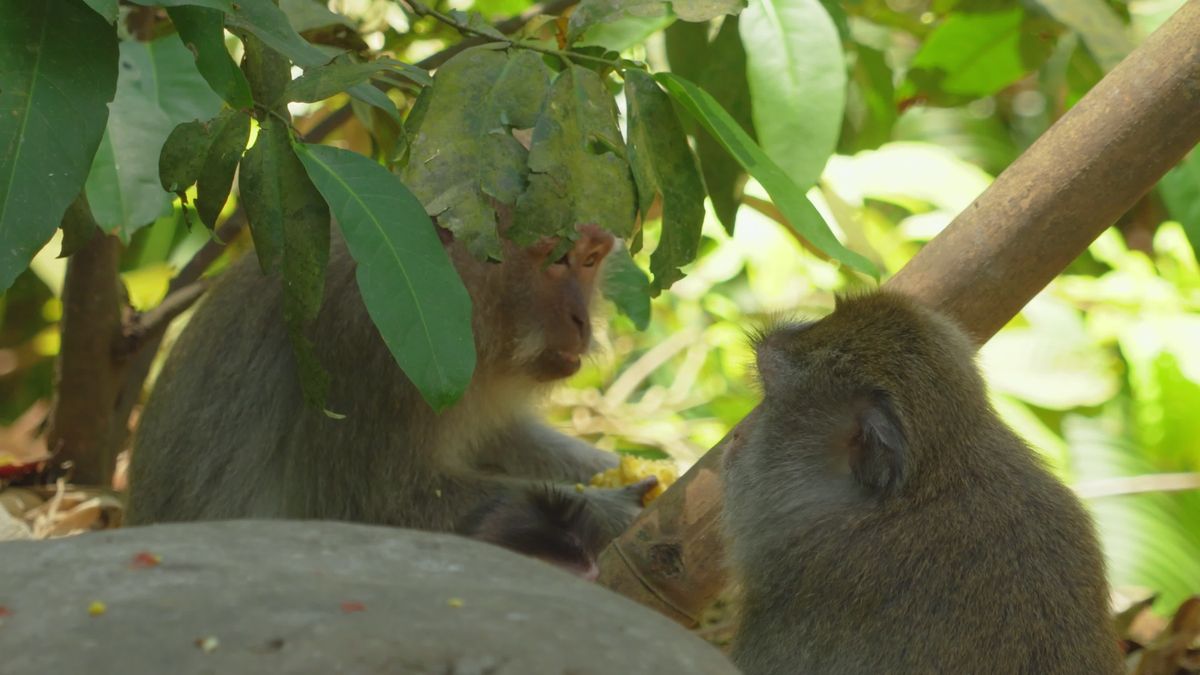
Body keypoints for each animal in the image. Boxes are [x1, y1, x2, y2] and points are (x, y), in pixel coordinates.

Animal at [127, 216, 649, 543]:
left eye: (590, 260)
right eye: (557, 259)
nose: (583, 321)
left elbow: (500, 439)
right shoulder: (367, 344)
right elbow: (373, 507)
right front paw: (611, 513)